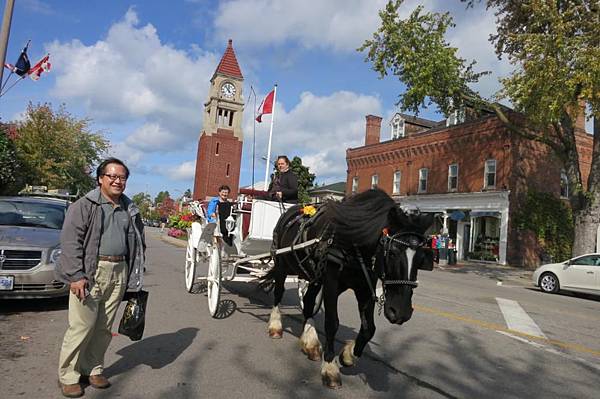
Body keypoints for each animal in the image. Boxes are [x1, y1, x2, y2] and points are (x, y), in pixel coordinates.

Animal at [260, 189, 434, 390]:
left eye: (422, 258)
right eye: (392, 252)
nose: (401, 312)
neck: (354, 243)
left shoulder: (364, 286)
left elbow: (369, 329)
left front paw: (348, 356)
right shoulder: (331, 282)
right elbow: (332, 323)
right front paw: (330, 367)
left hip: (313, 278)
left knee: (309, 303)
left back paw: (311, 343)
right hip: (282, 265)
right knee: (278, 293)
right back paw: (275, 326)